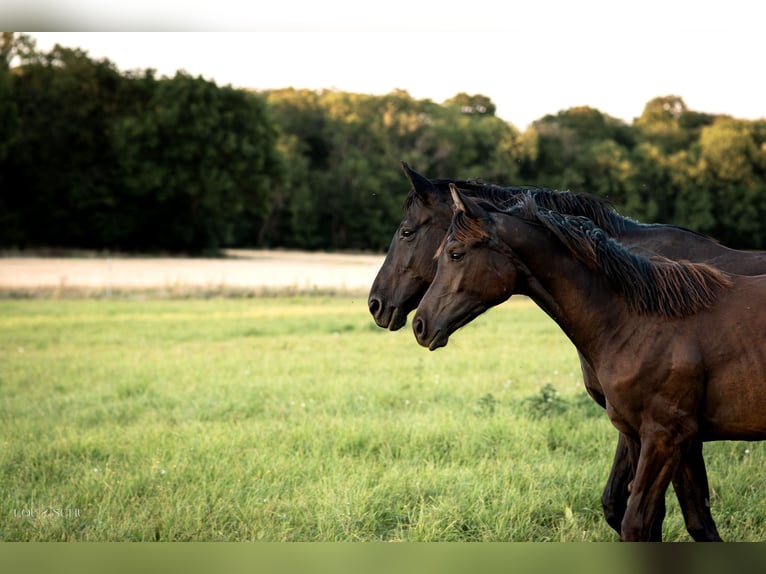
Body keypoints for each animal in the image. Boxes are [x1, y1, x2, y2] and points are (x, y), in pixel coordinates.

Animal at [369, 163, 766, 540]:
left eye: (407, 233)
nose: (378, 304)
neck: (640, 315)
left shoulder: (666, 434)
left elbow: (641, 519)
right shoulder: (656, 433)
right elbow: (659, 514)